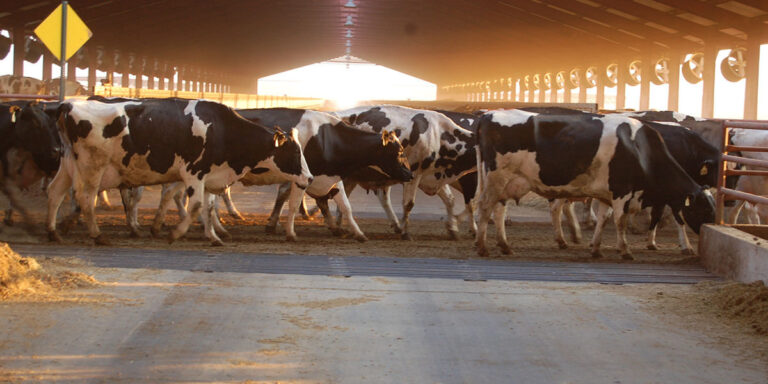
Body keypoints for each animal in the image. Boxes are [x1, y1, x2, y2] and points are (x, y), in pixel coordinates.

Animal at [47, 97, 312, 244]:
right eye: (294, 152)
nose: (309, 178)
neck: (222, 130)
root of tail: (68, 104)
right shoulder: (194, 173)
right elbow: (196, 206)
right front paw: (175, 234)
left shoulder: (211, 175)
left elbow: (209, 207)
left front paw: (213, 237)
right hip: (92, 167)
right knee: (86, 197)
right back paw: (97, 234)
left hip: (68, 165)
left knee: (55, 192)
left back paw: (54, 232)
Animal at [237, 106, 414, 242]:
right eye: (399, 152)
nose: (410, 174)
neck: (327, 140)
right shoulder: (301, 178)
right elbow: (293, 203)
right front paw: (290, 233)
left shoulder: (331, 177)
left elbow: (345, 206)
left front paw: (357, 233)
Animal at [334, 106, 476, 240]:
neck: (438, 136)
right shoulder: (414, 174)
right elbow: (408, 204)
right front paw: (405, 232)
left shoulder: (433, 176)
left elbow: (450, 200)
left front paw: (453, 229)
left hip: (352, 176)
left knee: (347, 195)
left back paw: (339, 226)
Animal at [476, 109, 716, 258]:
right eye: (703, 209)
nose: (708, 234)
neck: (639, 149)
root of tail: (488, 115)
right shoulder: (622, 191)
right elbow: (620, 221)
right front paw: (625, 250)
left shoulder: (608, 194)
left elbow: (603, 219)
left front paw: (597, 249)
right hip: (497, 178)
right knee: (486, 208)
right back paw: (483, 247)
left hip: (507, 182)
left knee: (499, 212)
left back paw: (505, 246)